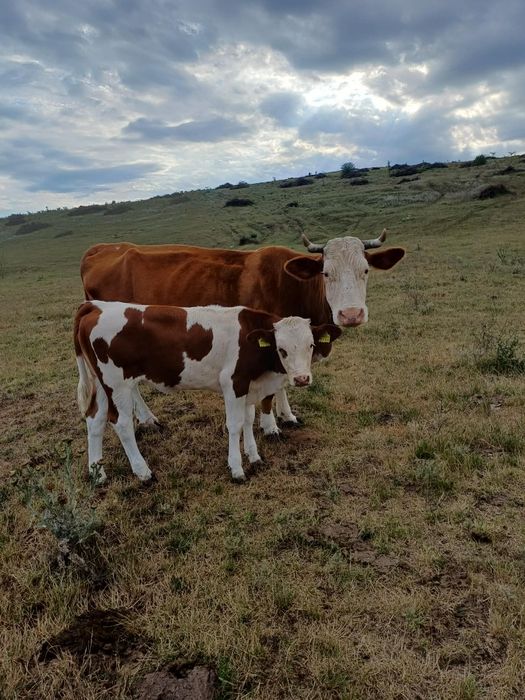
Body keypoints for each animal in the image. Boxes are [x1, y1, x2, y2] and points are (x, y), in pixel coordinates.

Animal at [74, 301, 341, 483]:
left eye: (311, 345)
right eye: (281, 349)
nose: (302, 378)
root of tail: (96, 306)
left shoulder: (249, 386)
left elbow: (248, 419)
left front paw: (254, 456)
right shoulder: (233, 382)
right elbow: (235, 425)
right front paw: (236, 468)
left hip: (102, 385)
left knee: (95, 420)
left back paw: (97, 473)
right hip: (117, 385)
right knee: (121, 424)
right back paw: (143, 472)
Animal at [80, 231, 405, 435]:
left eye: (366, 270)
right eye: (326, 273)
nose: (351, 314)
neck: (290, 285)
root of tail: (102, 248)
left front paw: (287, 416)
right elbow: (272, 389)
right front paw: (271, 425)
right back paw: (148, 419)